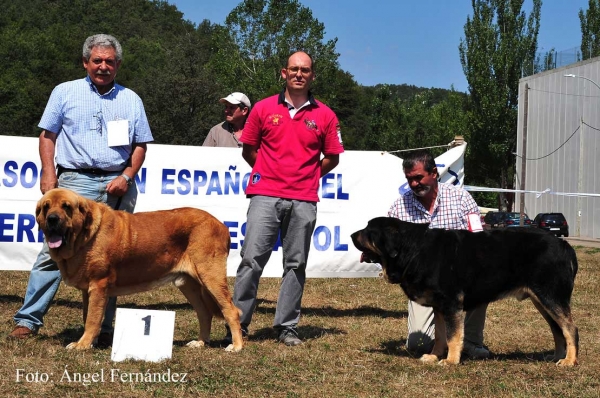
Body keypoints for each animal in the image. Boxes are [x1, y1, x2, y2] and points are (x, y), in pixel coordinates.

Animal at [34, 187, 241, 352]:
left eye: (66, 206)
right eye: (46, 207)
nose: (52, 219)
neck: (84, 236)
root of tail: (221, 225)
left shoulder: (98, 286)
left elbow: (92, 319)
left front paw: (82, 345)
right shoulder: (88, 291)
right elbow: (89, 316)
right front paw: (90, 342)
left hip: (211, 277)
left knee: (231, 310)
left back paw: (236, 346)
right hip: (188, 284)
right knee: (204, 313)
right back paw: (200, 343)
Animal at [350, 218, 580, 366]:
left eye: (368, 230)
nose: (351, 234)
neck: (414, 250)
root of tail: (563, 244)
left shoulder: (451, 304)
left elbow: (453, 336)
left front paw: (451, 361)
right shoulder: (440, 307)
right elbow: (440, 335)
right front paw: (434, 357)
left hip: (551, 297)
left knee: (570, 328)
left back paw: (569, 361)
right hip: (542, 300)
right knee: (557, 329)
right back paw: (557, 357)